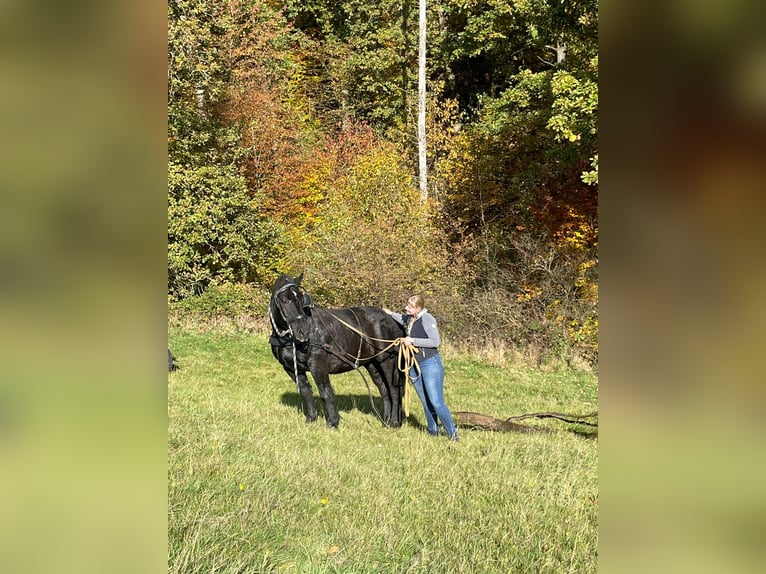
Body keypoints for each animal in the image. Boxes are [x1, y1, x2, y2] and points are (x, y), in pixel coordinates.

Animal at [268, 273, 405, 428]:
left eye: (301, 298)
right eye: (285, 300)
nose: (302, 331)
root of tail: (392, 319)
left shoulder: (318, 365)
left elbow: (325, 392)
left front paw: (332, 422)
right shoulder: (291, 368)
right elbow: (305, 392)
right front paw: (311, 419)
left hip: (387, 361)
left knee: (394, 390)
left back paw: (394, 422)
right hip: (372, 364)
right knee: (384, 389)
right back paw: (385, 420)